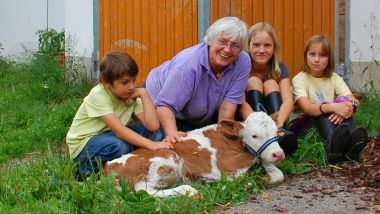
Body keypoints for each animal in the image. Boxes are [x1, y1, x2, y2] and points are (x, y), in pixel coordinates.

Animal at [104, 112, 284, 197]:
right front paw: (254, 180)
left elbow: (278, 173)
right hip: (168, 159)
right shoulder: (228, 168)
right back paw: (189, 190)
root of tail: (108, 167)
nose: (278, 154)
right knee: (143, 190)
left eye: (276, 131)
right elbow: (251, 162)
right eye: (254, 135)